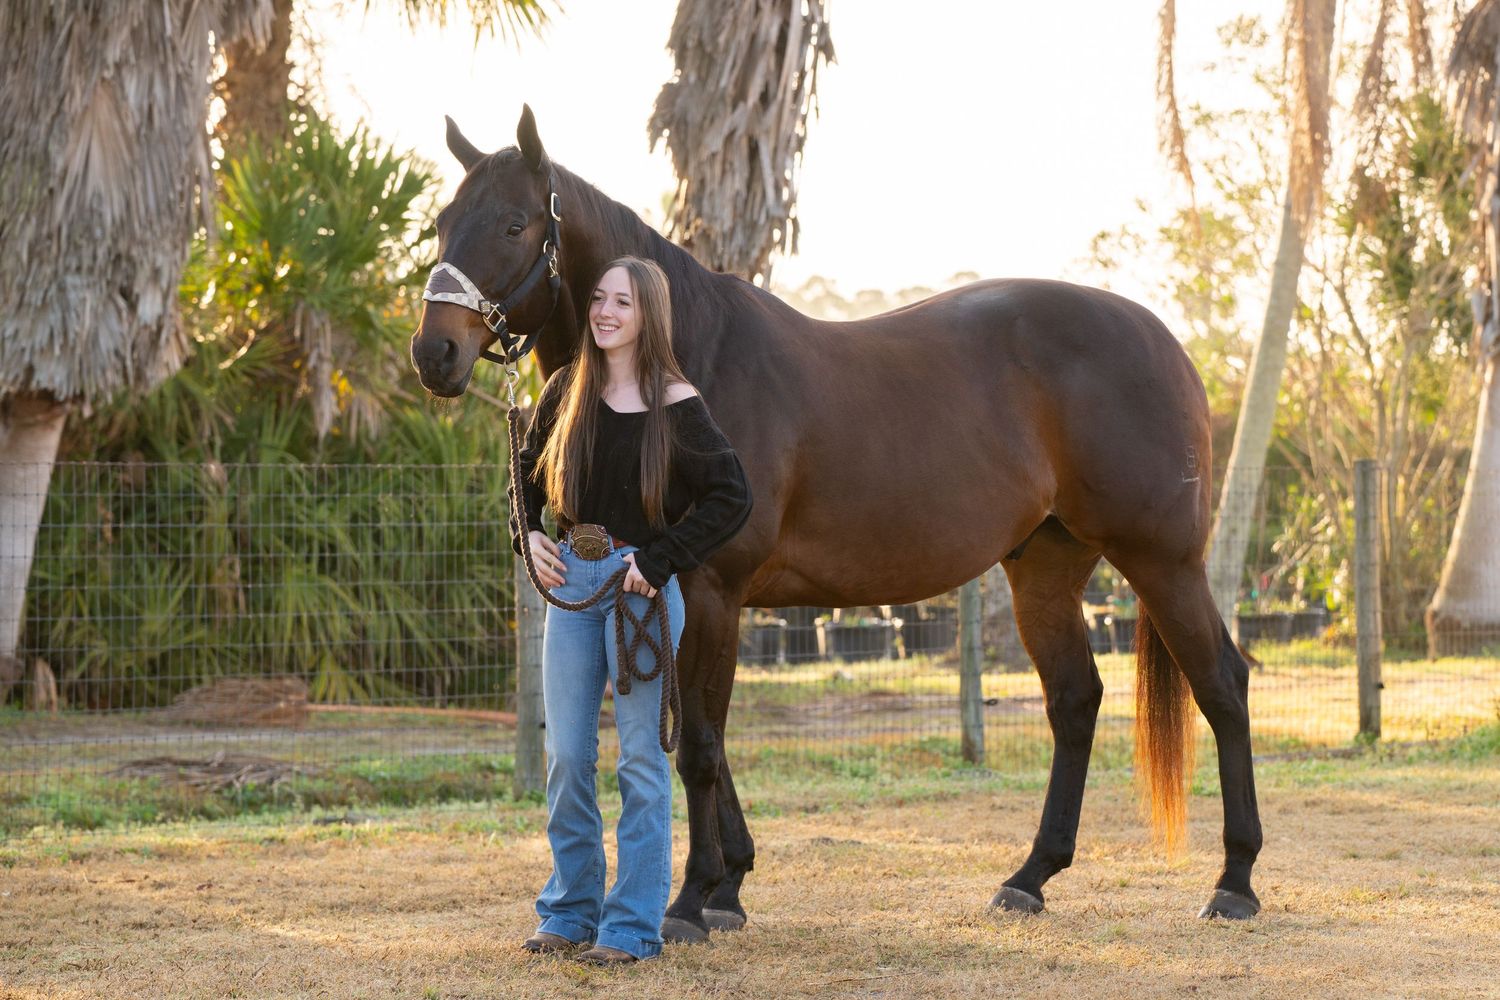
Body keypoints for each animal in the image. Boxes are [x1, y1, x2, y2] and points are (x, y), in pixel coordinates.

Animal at [409, 107, 1264, 939]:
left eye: (514, 224)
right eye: (442, 222)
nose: (434, 353)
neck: (690, 357)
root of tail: (1166, 343)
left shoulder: (707, 587)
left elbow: (700, 745)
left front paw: (691, 901)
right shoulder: (679, 594)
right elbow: (706, 736)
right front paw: (731, 886)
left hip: (1162, 559)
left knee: (1221, 683)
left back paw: (1234, 883)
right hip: (1046, 568)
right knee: (1075, 701)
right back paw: (1029, 879)